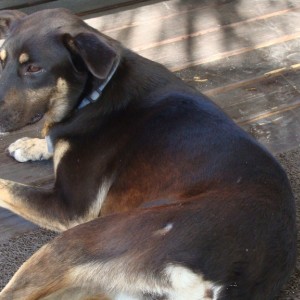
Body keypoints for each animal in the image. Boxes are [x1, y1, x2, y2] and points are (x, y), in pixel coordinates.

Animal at [0, 8, 296, 298]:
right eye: (2, 61)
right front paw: (31, 144)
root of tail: (231, 279)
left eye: (34, 68)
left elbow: (7, 185)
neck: (96, 92)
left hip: (81, 240)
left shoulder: (68, 208)